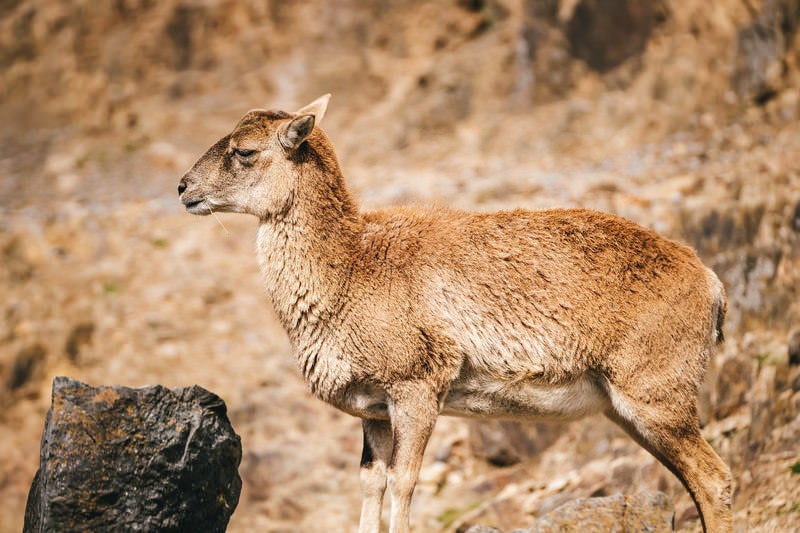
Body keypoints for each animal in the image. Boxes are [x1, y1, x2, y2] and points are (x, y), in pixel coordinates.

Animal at [180, 95, 732, 532]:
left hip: (658, 401)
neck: (350, 269)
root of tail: (710, 282)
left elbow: (404, 484)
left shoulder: (417, 390)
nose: (183, 188)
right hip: (631, 413)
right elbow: (372, 487)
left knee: (715, 480)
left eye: (245, 151)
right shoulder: (374, 413)